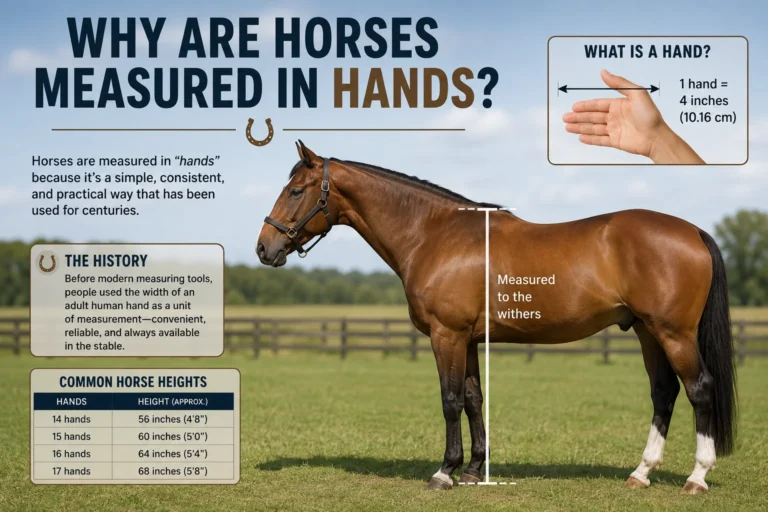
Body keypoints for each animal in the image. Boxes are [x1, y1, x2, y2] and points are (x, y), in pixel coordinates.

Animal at [256, 141, 737, 495]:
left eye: (296, 191)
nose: (264, 248)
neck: (435, 234)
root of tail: (693, 230)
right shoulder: (467, 339)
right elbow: (473, 400)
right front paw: (472, 470)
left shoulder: (446, 335)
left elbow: (450, 401)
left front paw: (444, 473)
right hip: (646, 331)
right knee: (663, 394)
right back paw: (640, 473)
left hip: (673, 333)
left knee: (699, 390)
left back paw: (696, 478)